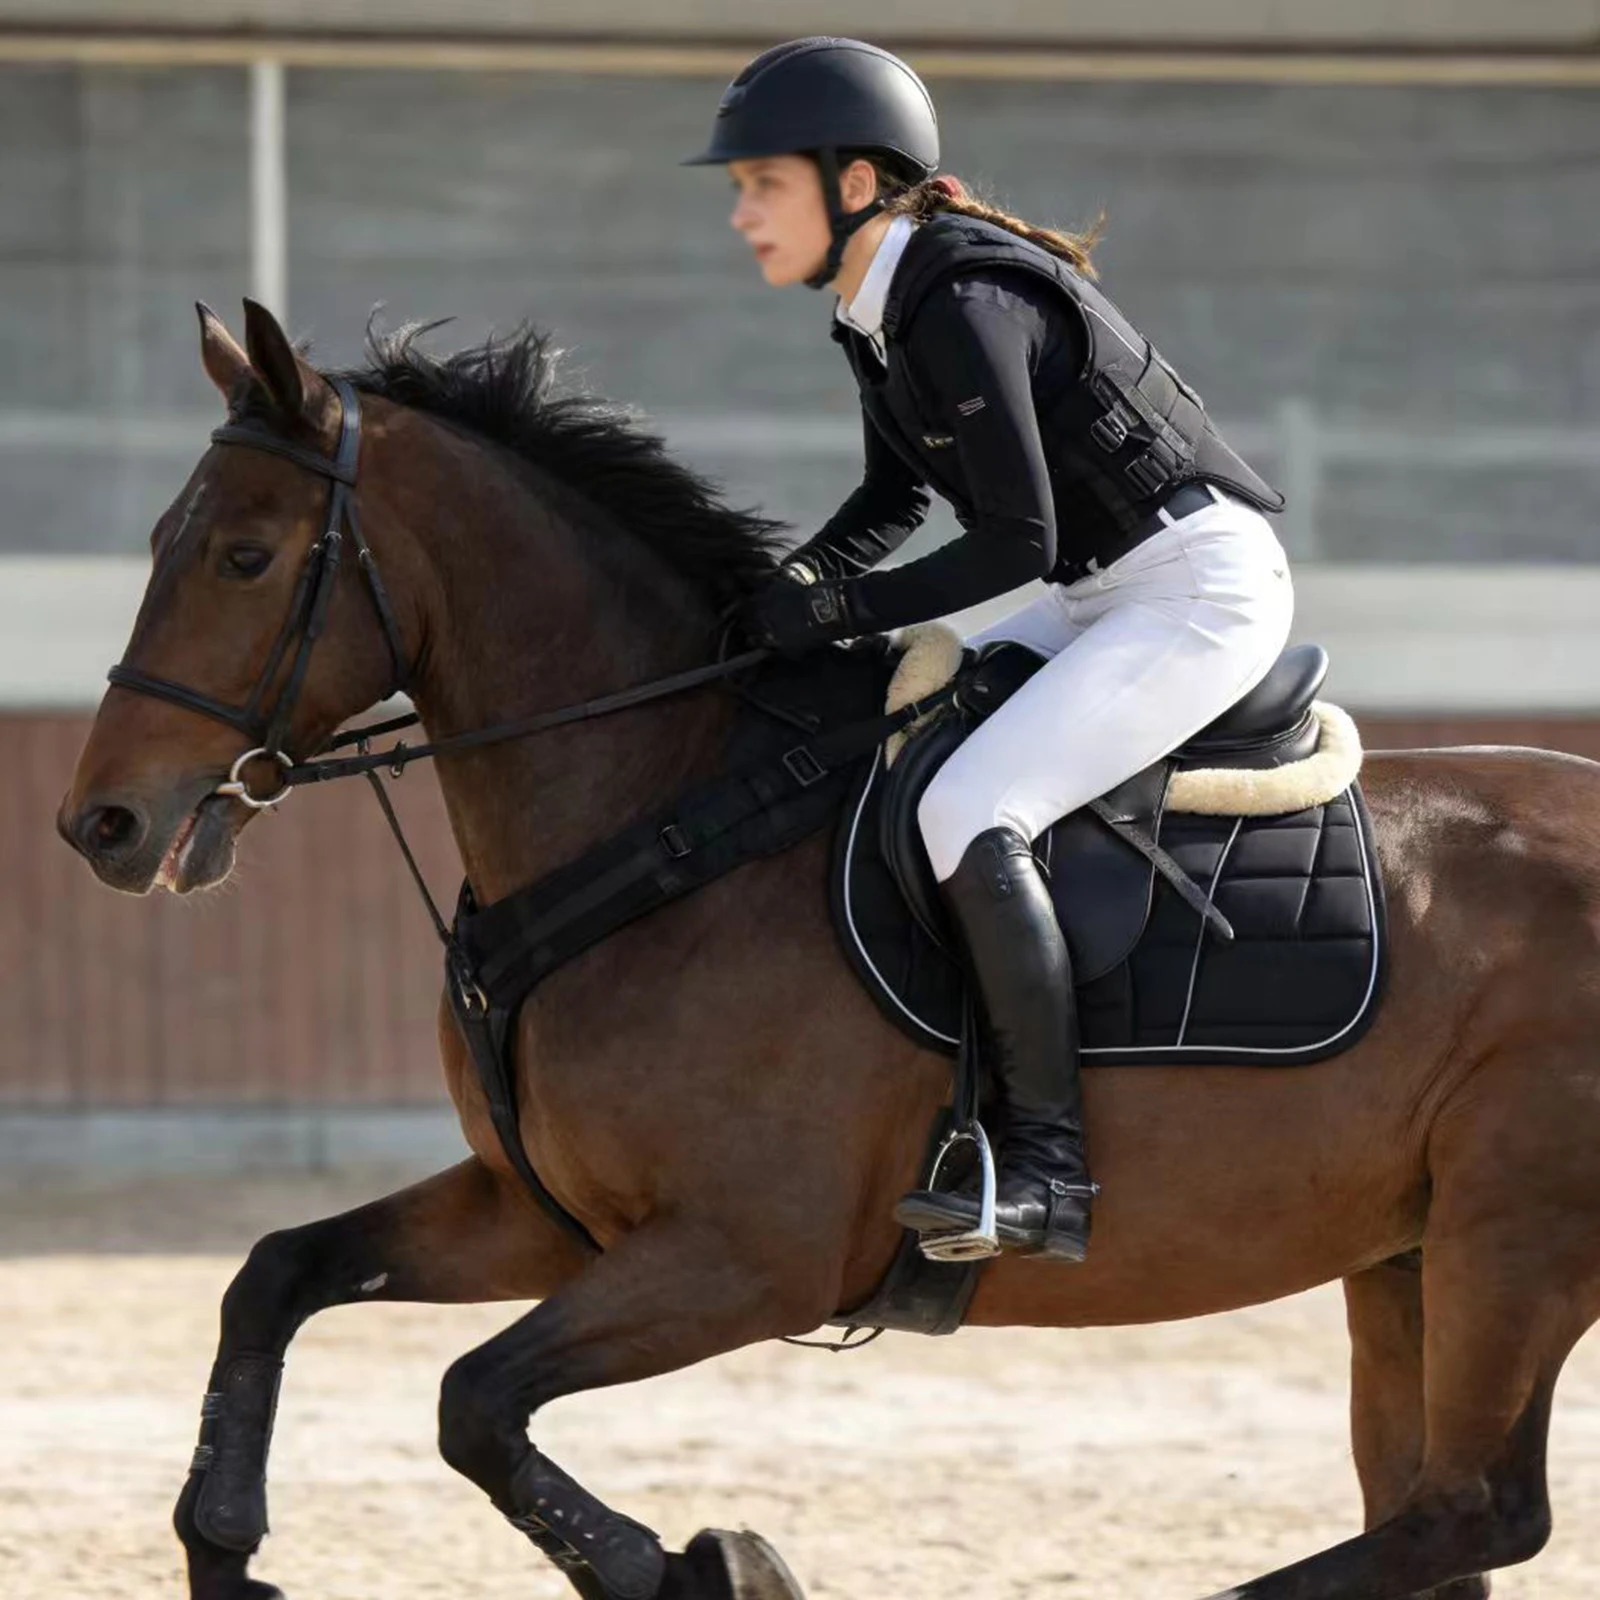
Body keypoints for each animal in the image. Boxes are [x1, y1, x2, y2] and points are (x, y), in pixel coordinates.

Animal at [59, 298, 1600, 1600]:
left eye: (246, 556)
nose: (103, 824)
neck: (671, 810)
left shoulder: (753, 1255)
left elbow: (475, 1406)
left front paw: (697, 1568)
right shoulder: (543, 1213)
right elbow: (277, 1277)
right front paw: (225, 1550)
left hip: (1510, 1237)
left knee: (1479, 1510)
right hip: (1402, 1254)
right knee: (1435, 1525)